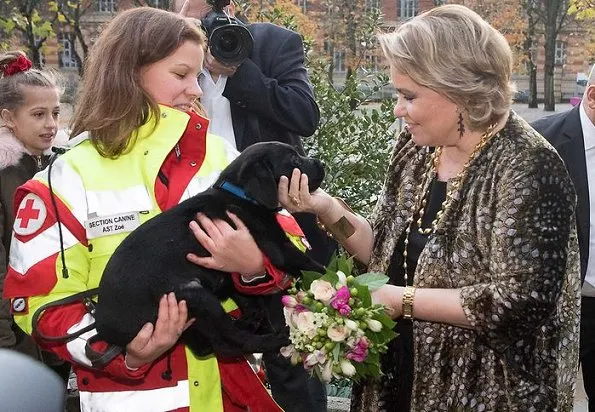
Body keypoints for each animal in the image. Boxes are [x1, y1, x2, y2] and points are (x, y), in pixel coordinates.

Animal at [95, 142, 326, 358]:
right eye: (294, 159)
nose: (321, 163)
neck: (240, 194)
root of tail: (106, 329)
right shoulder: (278, 247)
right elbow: (312, 266)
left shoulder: (230, 269)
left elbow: (248, 298)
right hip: (196, 296)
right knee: (230, 341)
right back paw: (274, 339)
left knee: (208, 344)